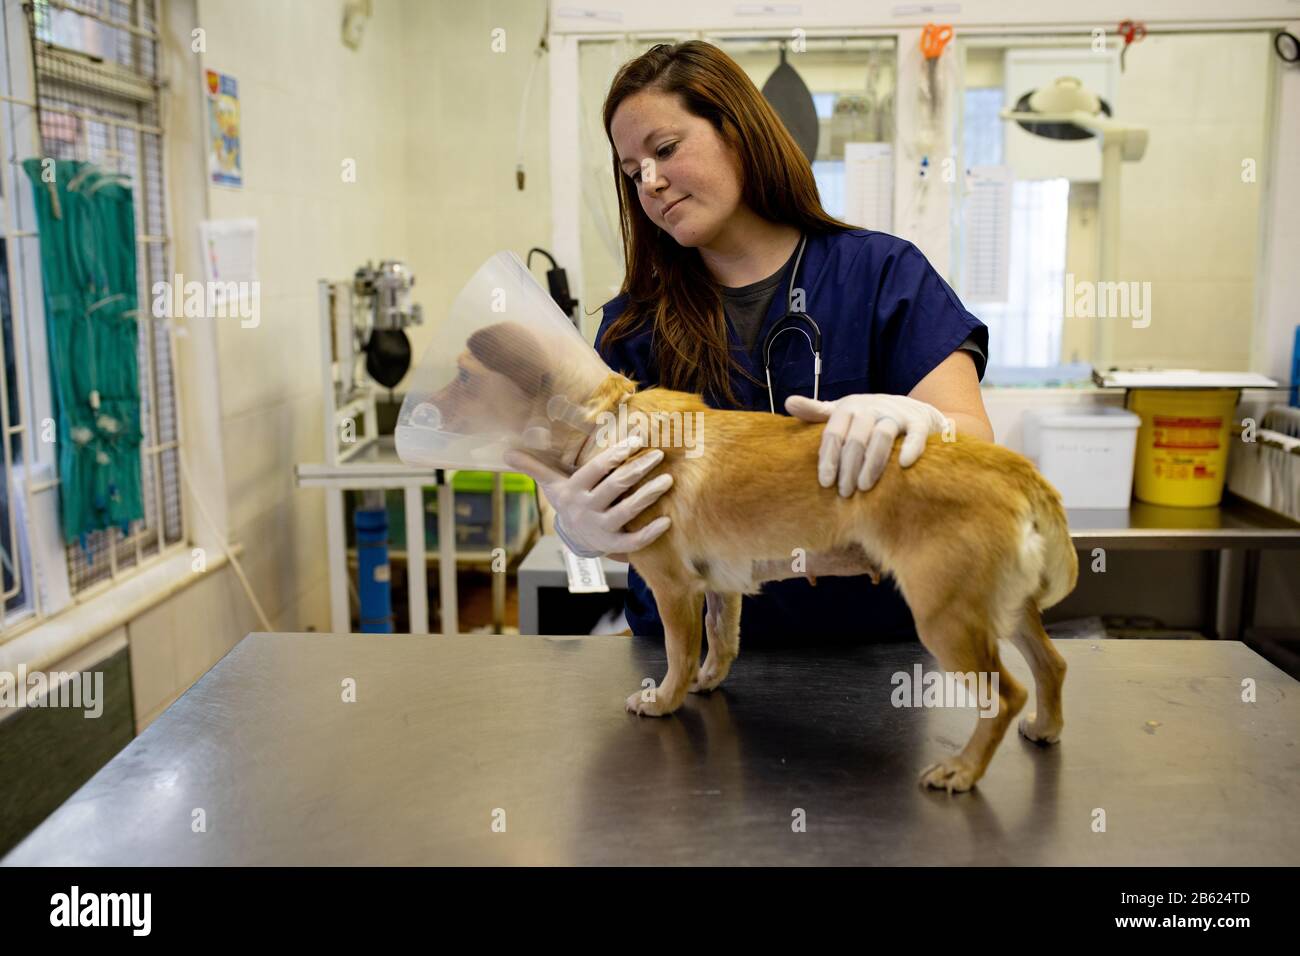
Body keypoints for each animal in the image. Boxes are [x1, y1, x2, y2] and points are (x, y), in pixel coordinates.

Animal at [426, 321, 1076, 790]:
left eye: (463, 379)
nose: (425, 412)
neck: (603, 422)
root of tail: (1016, 469)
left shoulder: (674, 587)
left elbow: (678, 652)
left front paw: (665, 700)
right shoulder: (721, 585)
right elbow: (722, 641)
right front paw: (709, 682)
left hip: (948, 619)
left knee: (1008, 694)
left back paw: (964, 770)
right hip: (1005, 611)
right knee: (1051, 666)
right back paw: (1045, 727)